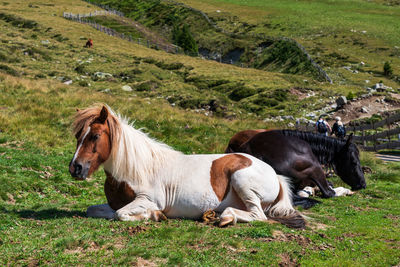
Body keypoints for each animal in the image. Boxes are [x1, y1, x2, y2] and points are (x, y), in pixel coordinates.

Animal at [69, 105, 304, 229]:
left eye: (95, 136)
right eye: (78, 135)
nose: (75, 168)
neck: (137, 171)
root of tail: (275, 175)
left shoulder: (147, 200)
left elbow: (121, 214)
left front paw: (154, 215)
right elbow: (94, 210)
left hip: (243, 182)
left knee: (258, 216)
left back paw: (225, 217)